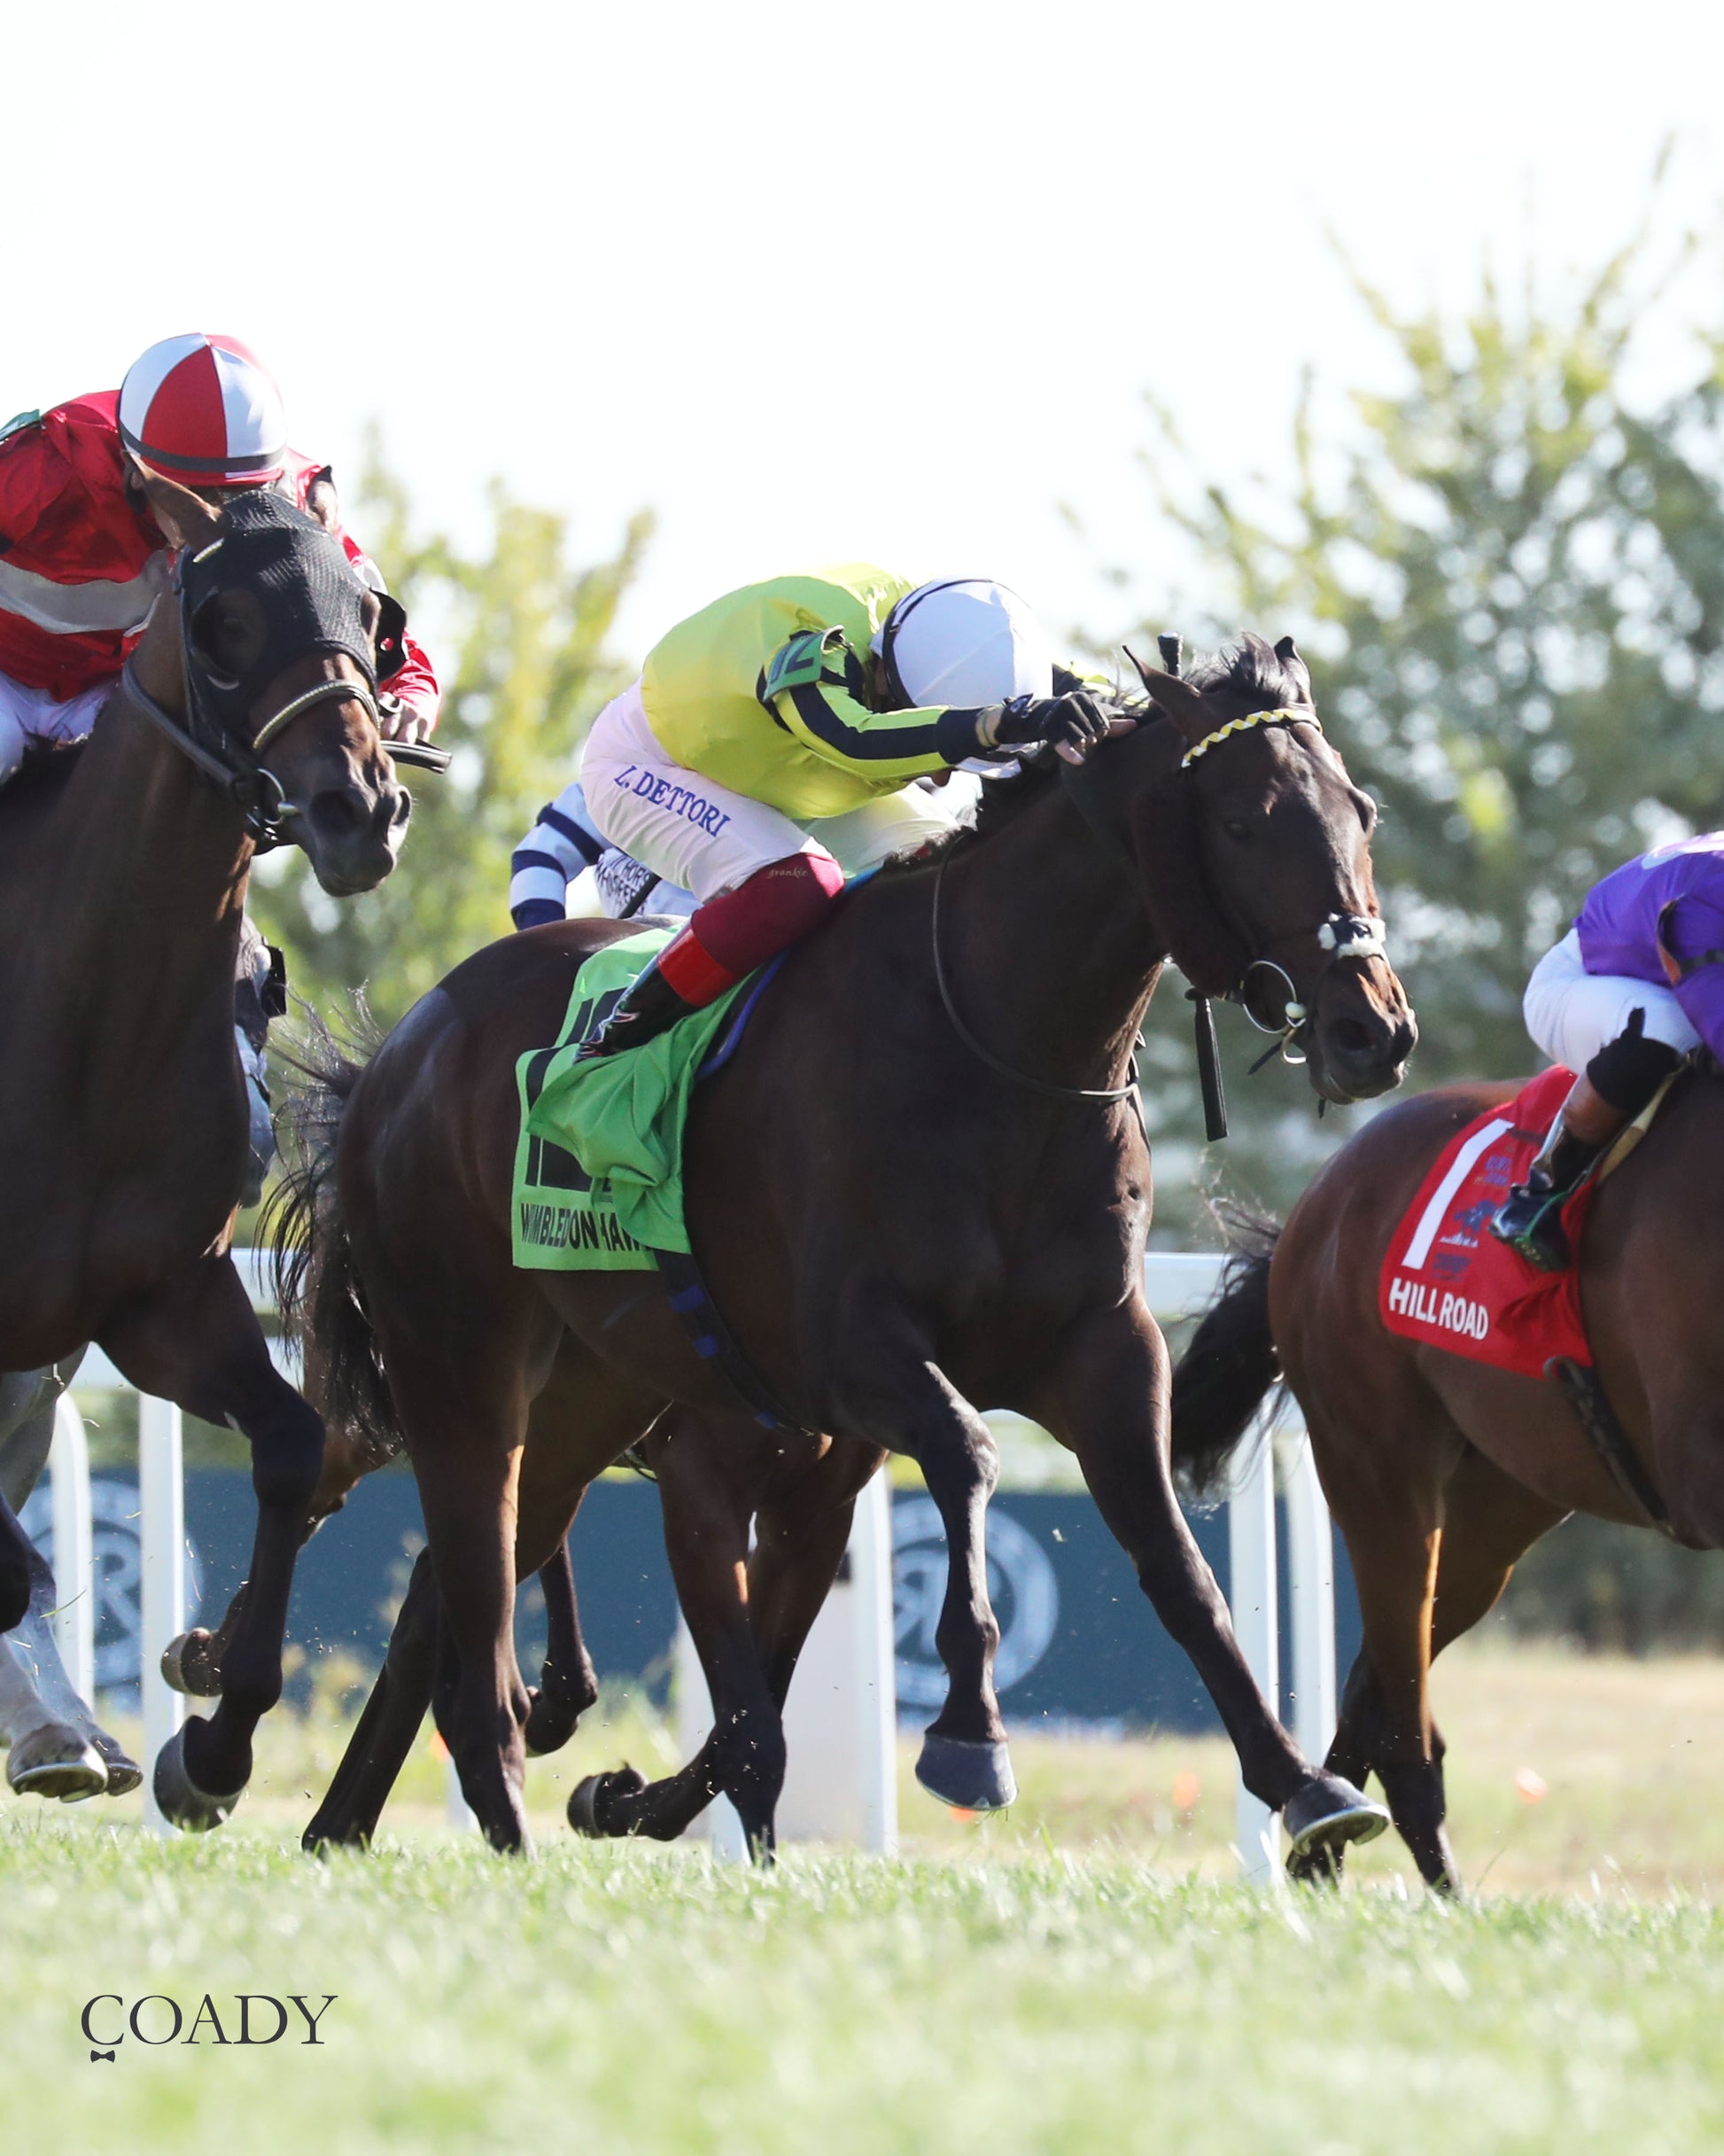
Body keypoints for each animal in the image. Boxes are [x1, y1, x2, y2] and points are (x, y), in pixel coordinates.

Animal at [0, 470, 409, 1827]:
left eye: (372, 611)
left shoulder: (161, 1297)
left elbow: (290, 1449)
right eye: (226, 616)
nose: (358, 807)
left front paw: (214, 1744)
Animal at [275, 632, 1416, 1855]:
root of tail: (402, 1046)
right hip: (460, 1363)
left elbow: (1174, 1562)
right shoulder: (844, 1361)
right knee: (471, 1593)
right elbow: (963, 1462)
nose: (1373, 1031)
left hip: (585, 1397)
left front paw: (1303, 1784)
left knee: (437, 1603)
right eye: (1245, 821)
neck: (996, 1047)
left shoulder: (1096, 1352)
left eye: (1361, 812)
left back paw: (347, 1823)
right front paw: (968, 1736)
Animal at [1168, 1066, 1724, 1893]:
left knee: (1372, 1686)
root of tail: (1321, 1193)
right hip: (1379, 1473)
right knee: (1402, 1724)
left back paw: (1322, 1851)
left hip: (1500, 1506)